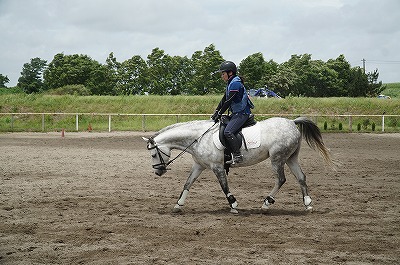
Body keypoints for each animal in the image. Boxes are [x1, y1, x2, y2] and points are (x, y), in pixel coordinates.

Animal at [142, 116, 332, 213]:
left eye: (153, 154)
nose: (158, 172)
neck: (199, 138)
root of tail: (292, 122)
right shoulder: (199, 166)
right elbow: (187, 183)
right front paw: (178, 205)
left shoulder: (217, 167)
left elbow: (224, 186)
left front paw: (233, 204)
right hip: (290, 158)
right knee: (301, 177)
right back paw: (307, 204)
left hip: (277, 158)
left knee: (281, 179)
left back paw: (266, 204)